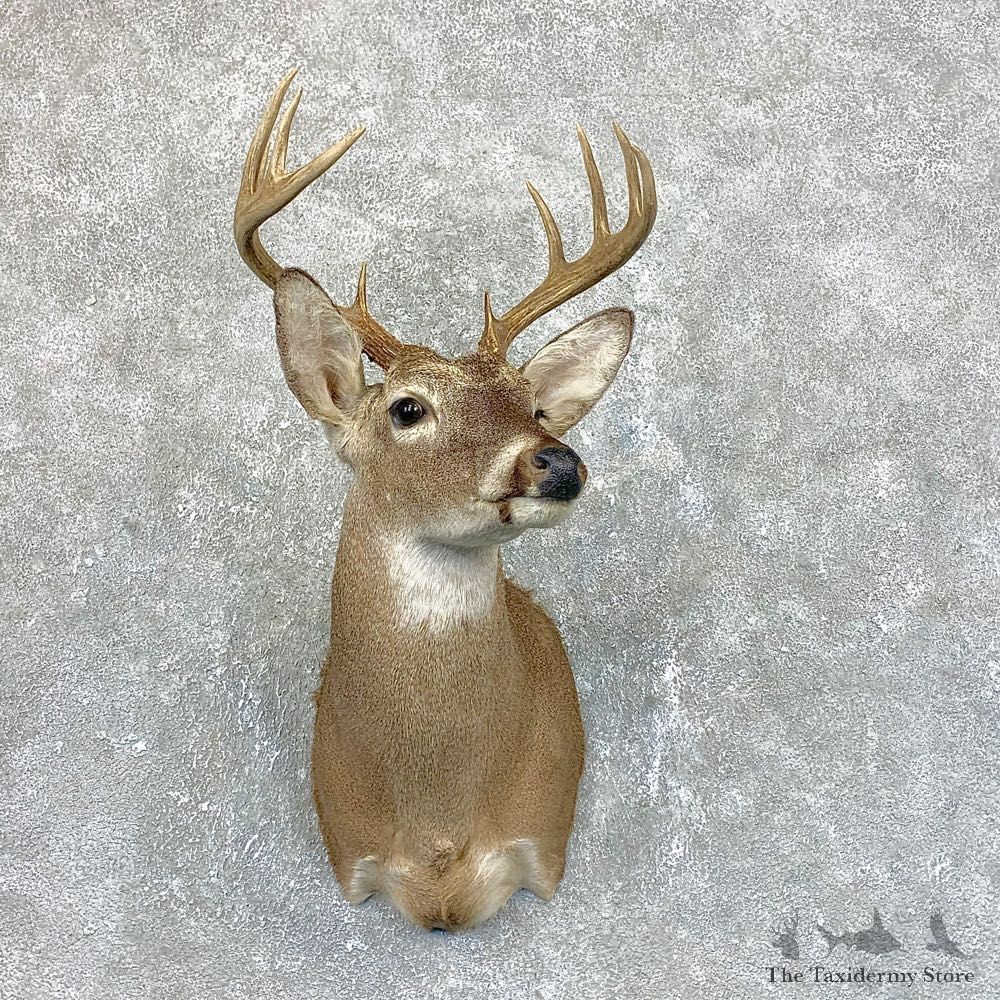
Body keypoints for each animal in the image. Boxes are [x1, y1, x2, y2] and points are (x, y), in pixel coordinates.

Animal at [233, 69, 656, 932]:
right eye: (407, 408)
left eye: (534, 407)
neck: (438, 829)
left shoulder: (544, 845)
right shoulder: (351, 855)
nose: (556, 461)